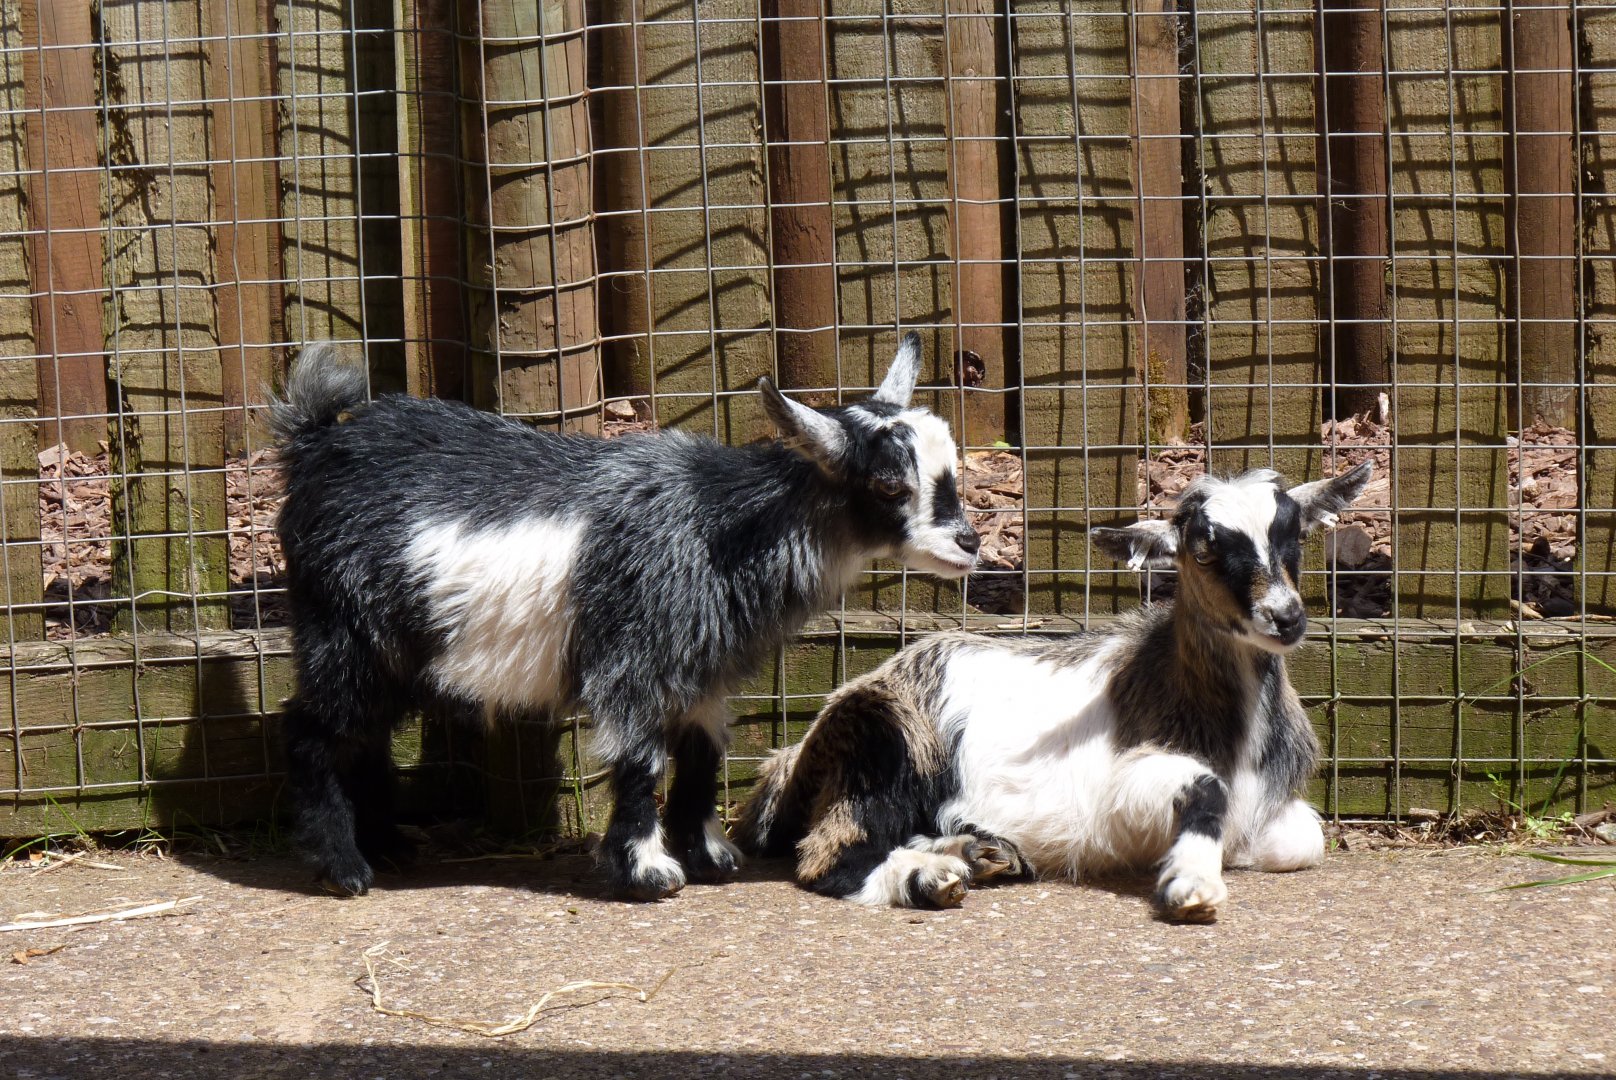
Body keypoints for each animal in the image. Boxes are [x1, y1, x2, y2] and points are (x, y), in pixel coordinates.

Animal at [269, 334, 980, 900]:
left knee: (365, 735)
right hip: (342, 630)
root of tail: (315, 441)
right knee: (308, 731)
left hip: (393, 651)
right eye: (890, 485)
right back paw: (344, 868)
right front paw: (648, 872)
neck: (718, 522)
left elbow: (701, 755)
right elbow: (642, 760)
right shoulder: (632, 658)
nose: (970, 544)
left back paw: (386, 844)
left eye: (951, 469)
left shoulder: (700, 670)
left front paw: (710, 855)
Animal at [735, 463, 1372, 922]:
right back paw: (930, 877)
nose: (1285, 618)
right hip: (878, 739)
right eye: (1203, 549)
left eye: (1295, 539)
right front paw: (1190, 882)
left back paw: (976, 852)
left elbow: (1306, 840)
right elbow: (1204, 788)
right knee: (827, 855)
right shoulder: (1123, 787)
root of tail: (788, 760)